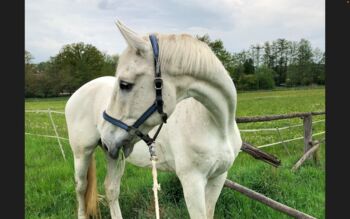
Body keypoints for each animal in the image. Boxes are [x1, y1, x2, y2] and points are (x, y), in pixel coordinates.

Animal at [65, 21, 241, 219]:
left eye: (124, 84)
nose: (106, 137)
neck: (219, 126)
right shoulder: (192, 181)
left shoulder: (218, 178)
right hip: (82, 153)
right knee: (81, 188)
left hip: (114, 155)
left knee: (111, 189)